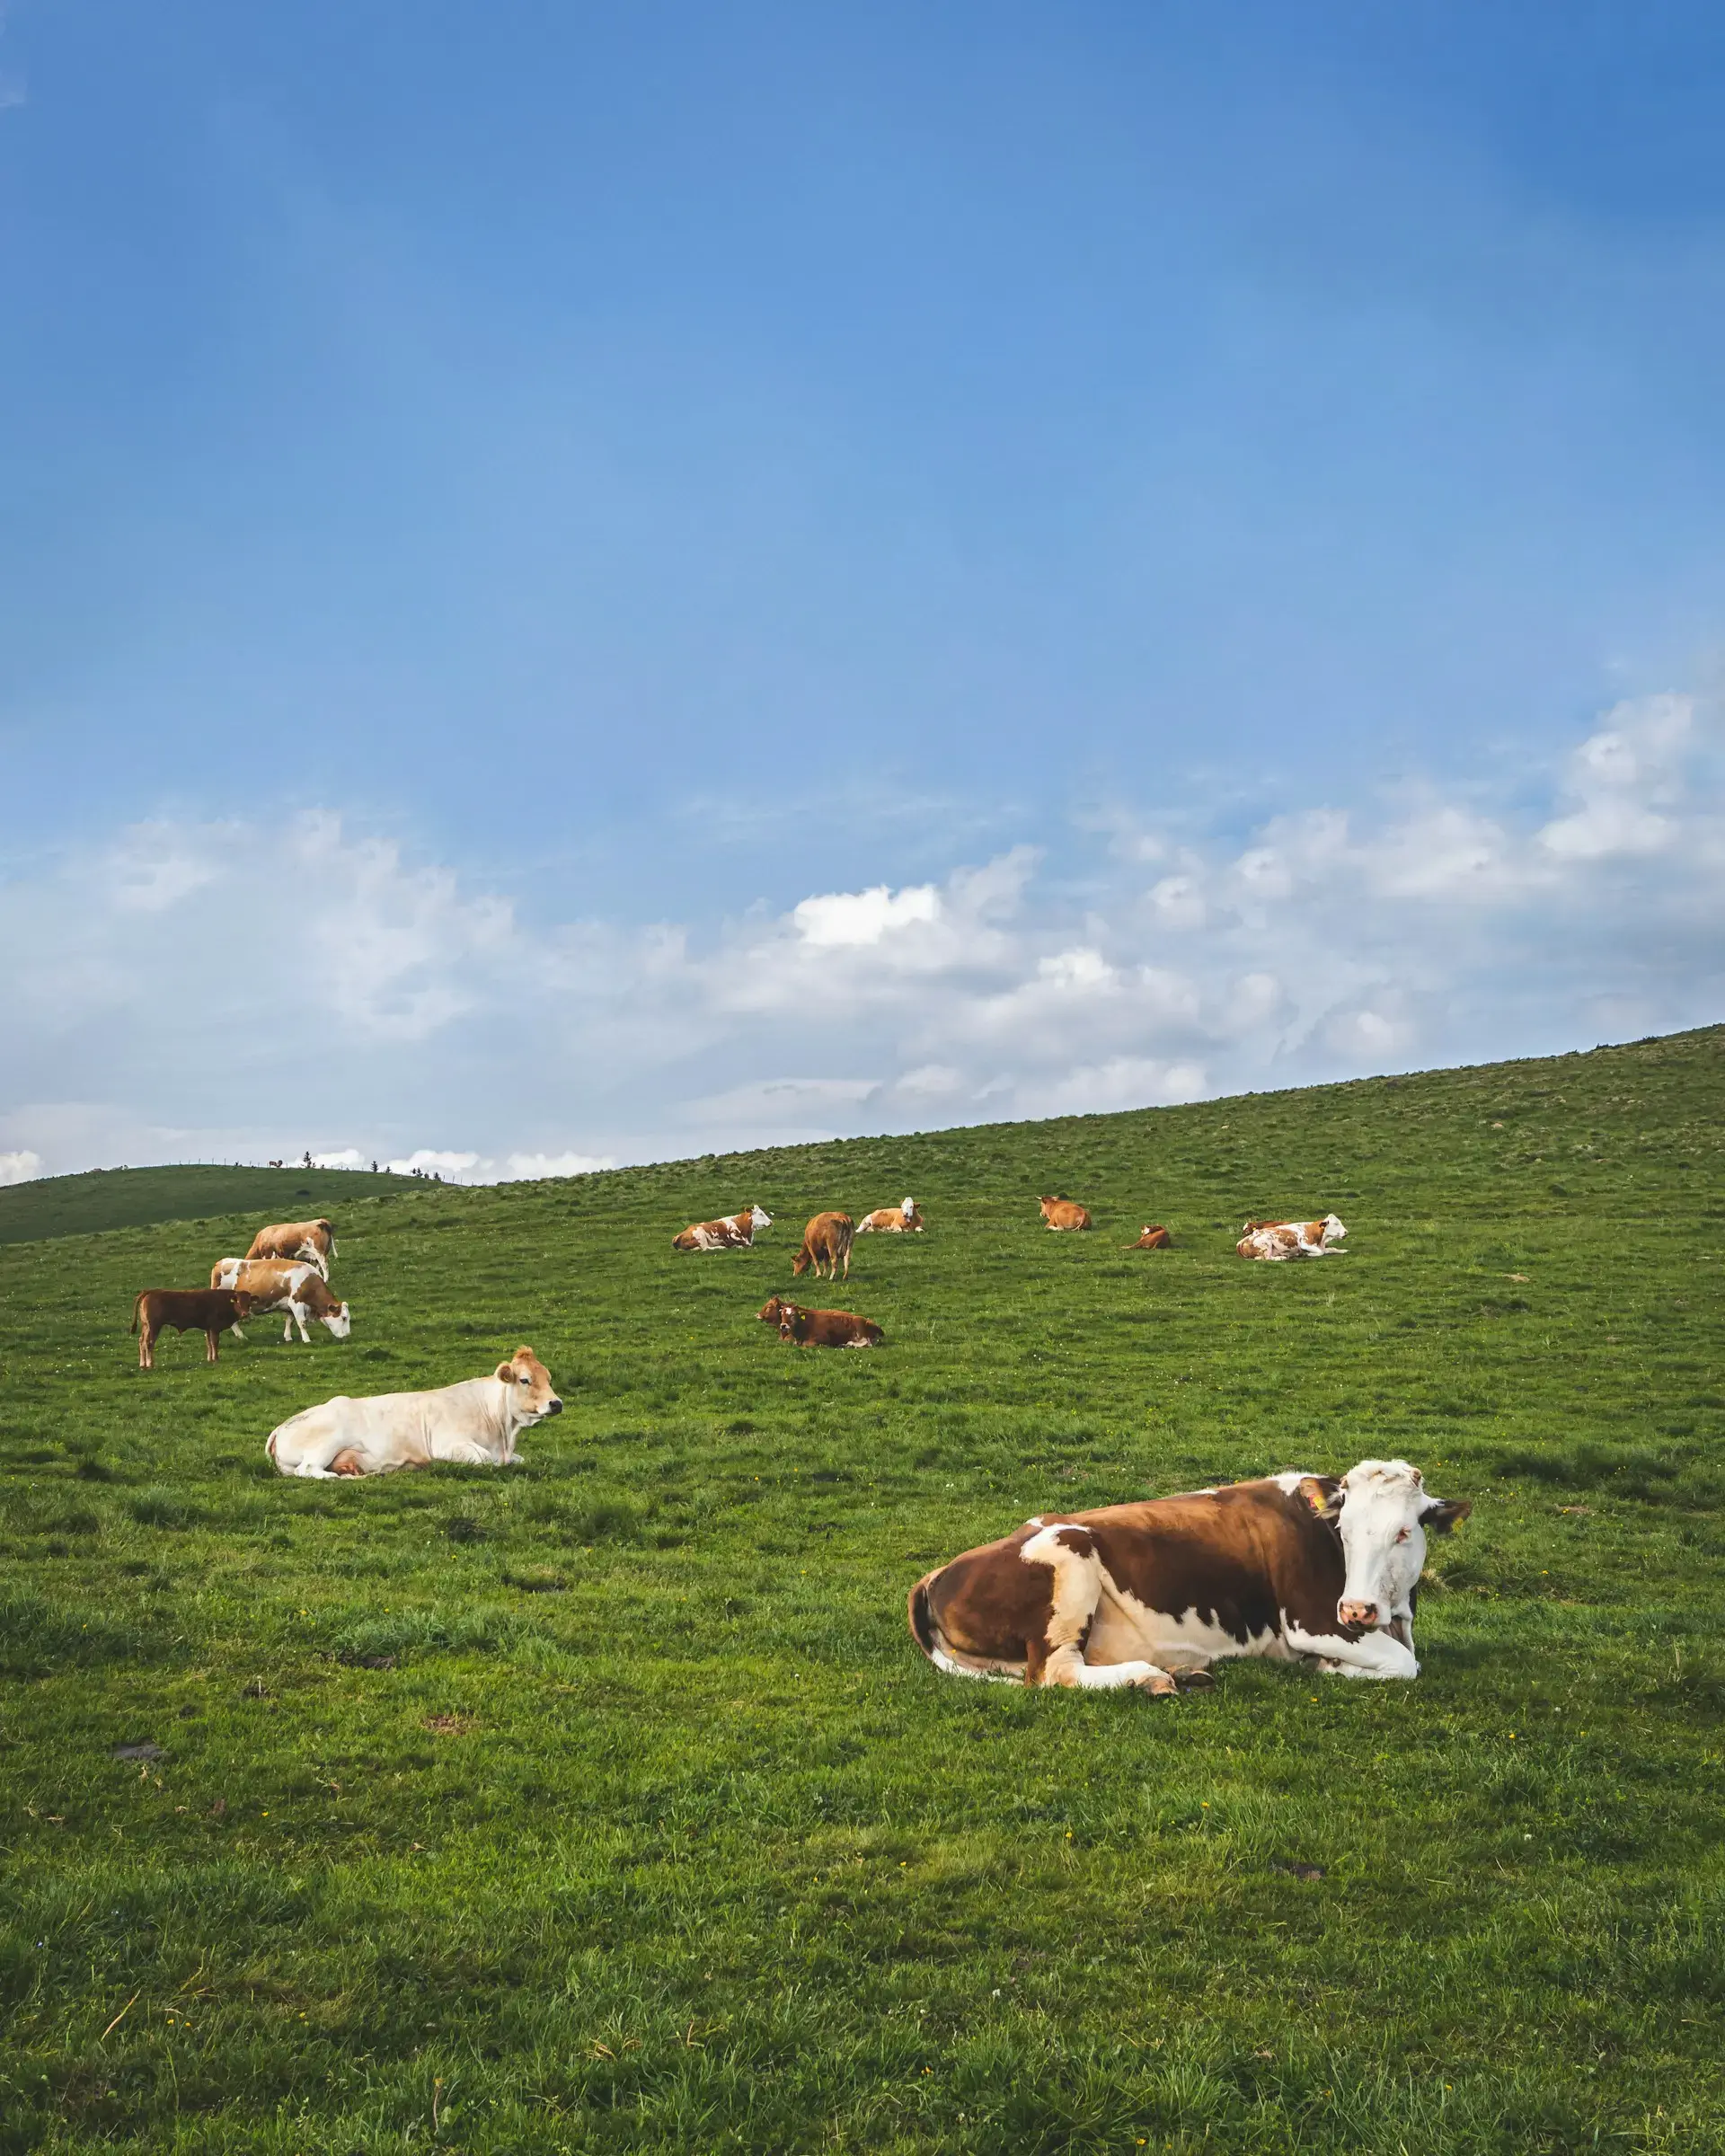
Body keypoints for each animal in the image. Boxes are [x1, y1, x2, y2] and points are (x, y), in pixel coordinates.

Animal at [132, 1287, 259, 1370]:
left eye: (249, 1303)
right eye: (238, 1301)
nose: (245, 1314)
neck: (225, 1302)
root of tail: (152, 1291)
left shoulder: (208, 1328)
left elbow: (209, 1343)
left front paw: (210, 1358)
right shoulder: (215, 1327)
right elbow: (214, 1343)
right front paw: (216, 1358)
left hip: (146, 1326)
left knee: (142, 1341)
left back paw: (142, 1364)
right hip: (154, 1326)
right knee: (149, 1343)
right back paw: (150, 1364)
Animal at [210, 1258, 352, 1342]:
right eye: (344, 1318)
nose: (347, 1335)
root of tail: (220, 1262)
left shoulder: (289, 1306)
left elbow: (289, 1321)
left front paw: (288, 1337)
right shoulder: (296, 1302)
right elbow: (302, 1323)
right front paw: (306, 1339)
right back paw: (241, 1336)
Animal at [266, 1345, 561, 1479]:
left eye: (548, 1378)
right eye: (525, 1380)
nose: (556, 1403)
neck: (503, 1435)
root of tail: (281, 1427)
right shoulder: (449, 1444)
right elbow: (483, 1459)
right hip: (327, 1441)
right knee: (308, 1469)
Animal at [908, 1459, 1470, 1693]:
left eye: (1404, 1532)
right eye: (1344, 1528)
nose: (1356, 1609)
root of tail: (939, 1571)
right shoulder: (1312, 1621)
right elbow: (1405, 1664)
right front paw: (1329, 1667)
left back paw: (1182, 1673)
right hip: (1069, 1562)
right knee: (1055, 1673)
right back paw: (1149, 1678)